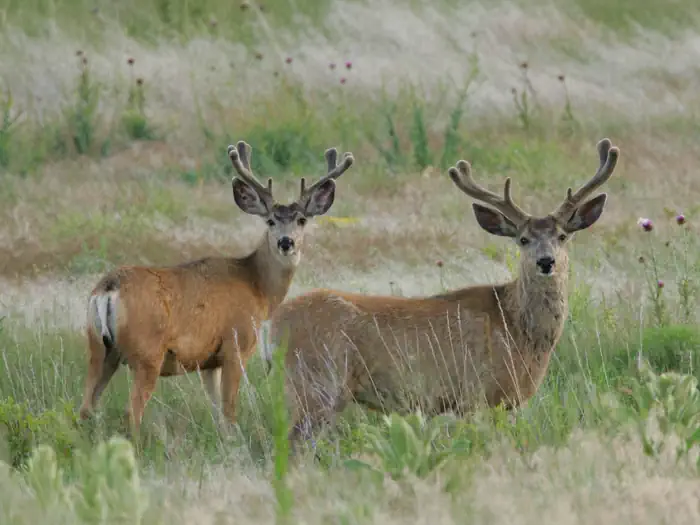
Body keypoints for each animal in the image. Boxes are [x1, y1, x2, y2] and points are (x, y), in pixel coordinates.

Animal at [78, 140, 355, 434]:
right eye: (270, 220)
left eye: (302, 219)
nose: (286, 242)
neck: (257, 287)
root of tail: (108, 288)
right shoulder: (236, 345)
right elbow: (229, 412)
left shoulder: (209, 361)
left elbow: (216, 413)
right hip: (147, 353)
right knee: (132, 412)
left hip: (100, 348)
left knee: (86, 407)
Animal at [267, 138, 619, 453]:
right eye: (522, 239)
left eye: (562, 236)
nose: (546, 261)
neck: (518, 330)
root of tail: (272, 325)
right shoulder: (475, 394)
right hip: (317, 380)